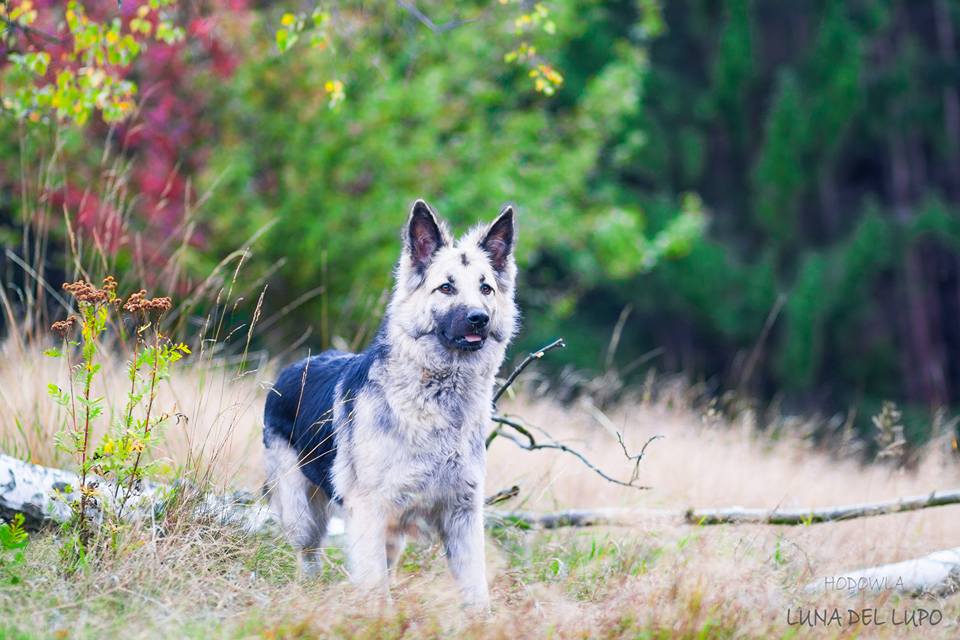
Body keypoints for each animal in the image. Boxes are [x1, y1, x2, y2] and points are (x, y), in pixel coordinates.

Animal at [263, 200, 518, 610]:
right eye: (446, 287)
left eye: (486, 289)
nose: (479, 318)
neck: (437, 401)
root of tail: (293, 367)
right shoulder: (369, 511)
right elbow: (373, 585)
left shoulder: (463, 515)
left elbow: (476, 591)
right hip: (303, 516)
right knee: (309, 556)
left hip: (392, 533)